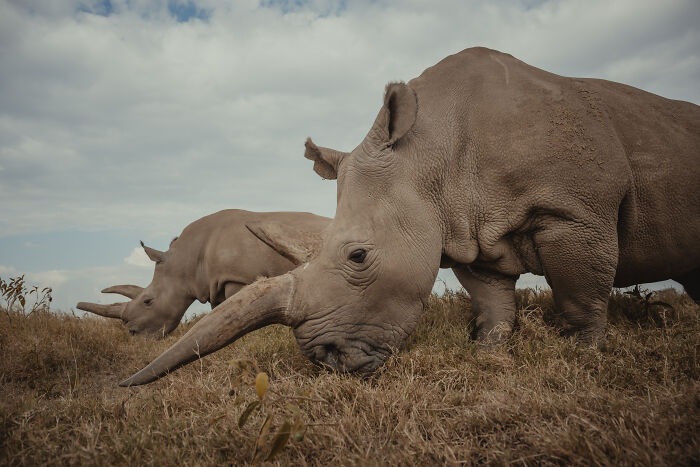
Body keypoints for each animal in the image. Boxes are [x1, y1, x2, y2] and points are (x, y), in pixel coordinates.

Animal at [76, 210, 330, 337]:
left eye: (148, 301)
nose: (133, 334)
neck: (186, 260)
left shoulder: (238, 277)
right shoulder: (214, 283)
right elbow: (220, 310)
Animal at [120, 47, 699, 386]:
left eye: (358, 256)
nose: (328, 360)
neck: (430, 154)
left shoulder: (574, 212)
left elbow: (580, 293)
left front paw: (581, 356)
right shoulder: (466, 229)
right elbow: (492, 301)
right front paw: (487, 353)